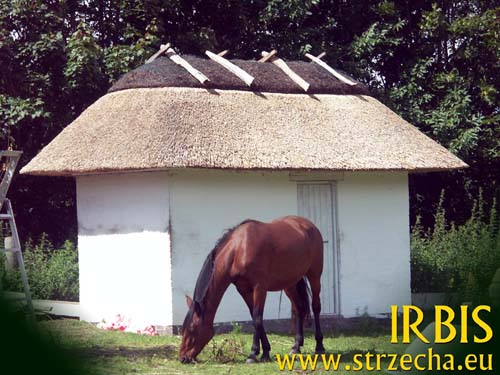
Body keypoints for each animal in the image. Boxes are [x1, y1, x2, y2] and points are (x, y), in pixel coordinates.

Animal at [179, 216, 324, 366]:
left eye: (192, 329)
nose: (182, 358)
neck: (239, 250)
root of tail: (308, 225)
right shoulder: (244, 290)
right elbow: (255, 318)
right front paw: (265, 352)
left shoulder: (259, 288)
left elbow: (257, 318)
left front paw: (253, 354)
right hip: (290, 283)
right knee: (299, 308)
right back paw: (296, 347)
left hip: (314, 275)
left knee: (316, 306)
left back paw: (319, 347)